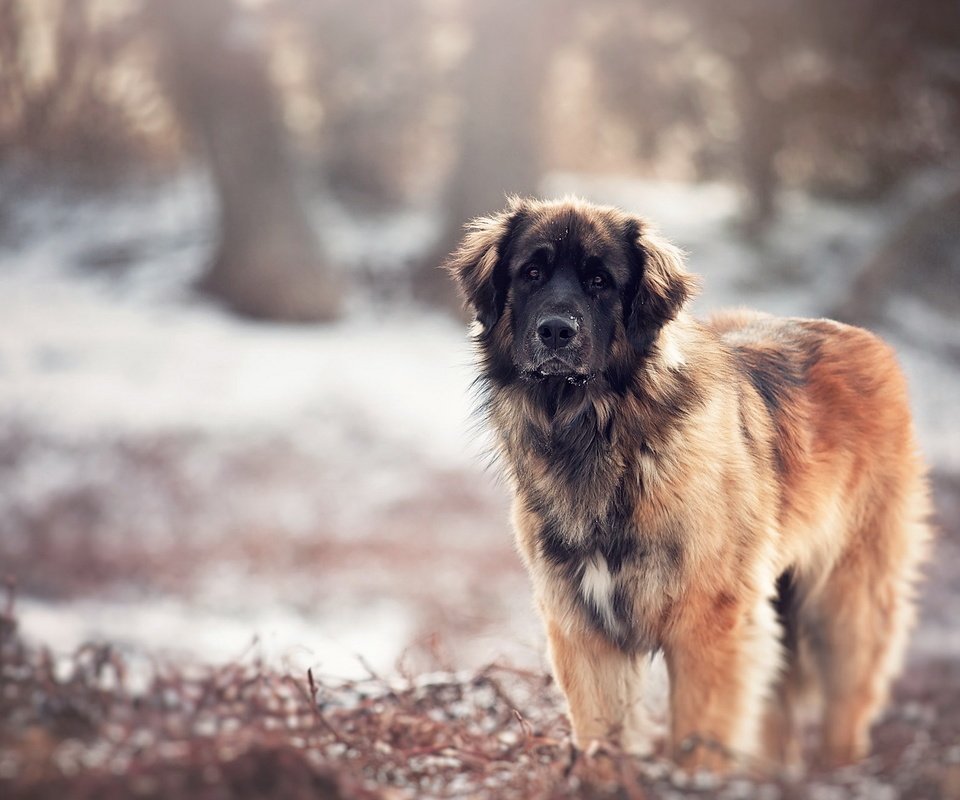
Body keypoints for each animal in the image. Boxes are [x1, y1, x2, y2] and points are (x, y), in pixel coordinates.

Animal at [446, 197, 932, 772]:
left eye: (600, 282)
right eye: (532, 274)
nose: (557, 331)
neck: (599, 434)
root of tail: (867, 340)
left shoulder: (710, 624)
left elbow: (698, 736)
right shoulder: (583, 627)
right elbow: (601, 731)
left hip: (845, 604)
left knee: (847, 704)